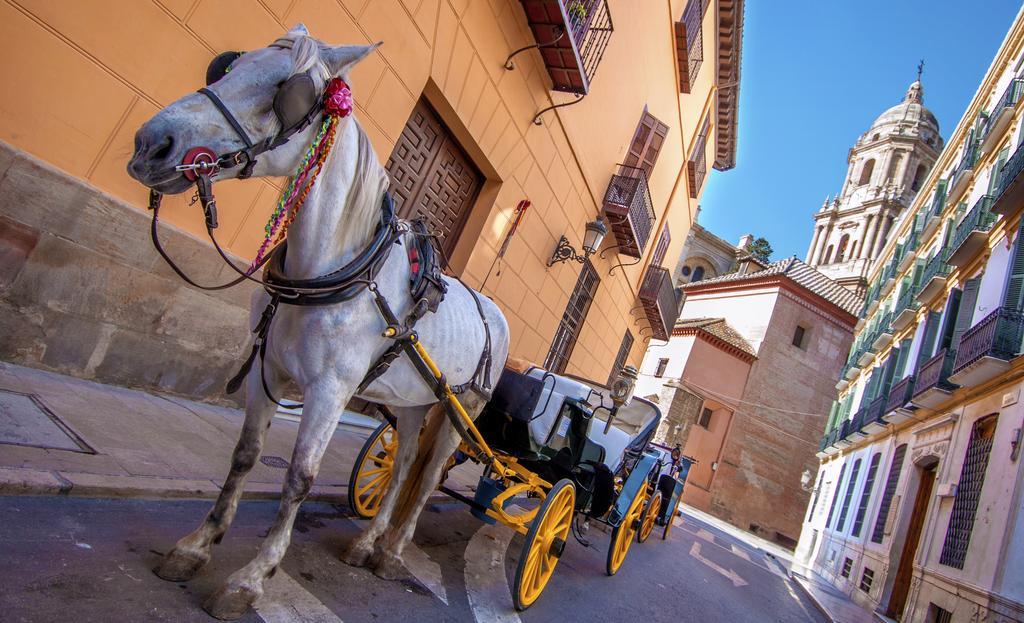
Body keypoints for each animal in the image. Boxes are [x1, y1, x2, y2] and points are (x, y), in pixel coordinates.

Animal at [125, 24, 509, 618]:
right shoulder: (266, 370)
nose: (152, 143)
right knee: (402, 466)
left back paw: (392, 554)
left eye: (290, 92)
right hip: (414, 402)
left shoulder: (330, 391)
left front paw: (252, 578)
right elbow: (245, 456)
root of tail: (494, 311)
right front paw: (197, 546)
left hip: (461, 409)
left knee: (425, 483)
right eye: (227, 67)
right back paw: (367, 543)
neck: (336, 269)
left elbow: (298, 479)